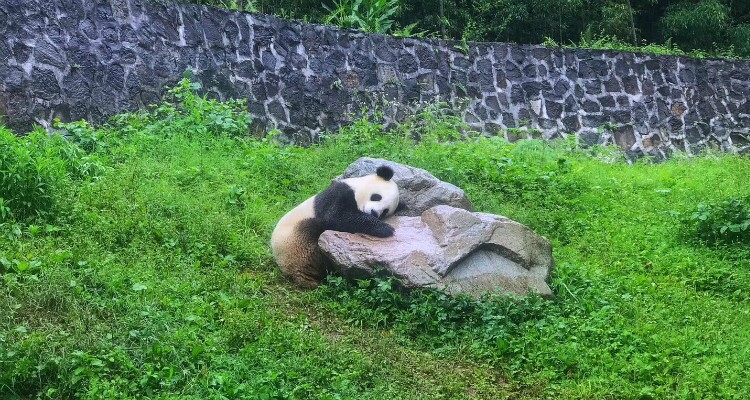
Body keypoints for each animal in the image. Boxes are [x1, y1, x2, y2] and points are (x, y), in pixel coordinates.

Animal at [271, 165, 400, 288]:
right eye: (377, 197)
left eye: (385, 211)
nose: (374, 213)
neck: (357, 187)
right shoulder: (337, 194)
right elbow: (337, 217)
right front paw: (385, 228)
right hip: (296, 239)